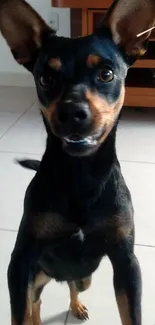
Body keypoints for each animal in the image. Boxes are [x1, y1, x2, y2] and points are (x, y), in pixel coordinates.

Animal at [0, 0, 154, 322]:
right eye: (46, 78)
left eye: (107, 74)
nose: (71, 113)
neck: (82, 174)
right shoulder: (20, 262)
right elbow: (19, 312)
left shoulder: (126, 262)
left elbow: (131, 313)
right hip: (38, 274)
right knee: (35, 301)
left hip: (85, 277)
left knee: (72, 285)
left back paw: (76, 305)